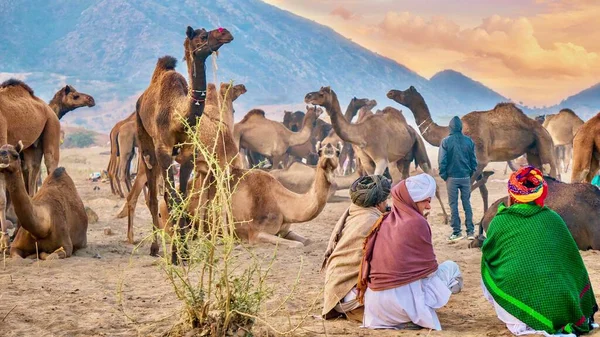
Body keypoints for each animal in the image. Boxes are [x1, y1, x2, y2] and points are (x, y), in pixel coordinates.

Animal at [308, 85, 448, 222]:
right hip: (403, 159)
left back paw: (446, 217)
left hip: (419, 145)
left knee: (429, 173)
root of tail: (410, 129)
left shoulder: (381, 159)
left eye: (322, 93)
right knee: (404, 177)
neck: (362, 134)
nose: (308, 96)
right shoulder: (366, 161)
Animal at [386, 85, 560, 210]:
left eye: (406, 92)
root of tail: (544, 129)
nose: (390, 92)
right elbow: (482, 191)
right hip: (532, 152)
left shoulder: (480, 158)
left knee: (551, 171)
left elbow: (468, 189)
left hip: (545, 143)